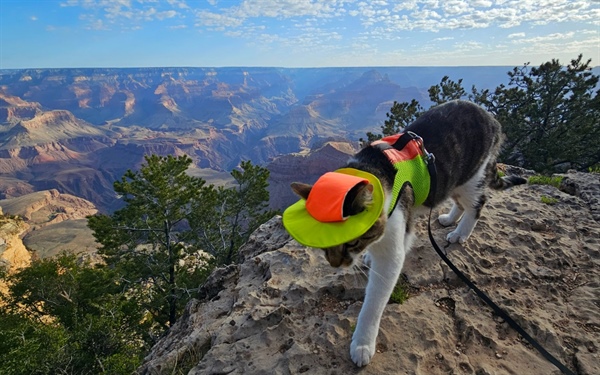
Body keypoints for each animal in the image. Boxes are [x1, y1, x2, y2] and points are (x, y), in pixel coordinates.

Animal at [286, 100, 524, 368]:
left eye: (352, 242)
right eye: (323, 243)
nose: (336, 265)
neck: (372, 169)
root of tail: (491, 118)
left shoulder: (393, 245)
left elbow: (374, 301)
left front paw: (362, 344)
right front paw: (367, 256)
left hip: (471, 177)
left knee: (477, 203)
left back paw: (460, 233)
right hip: (450, 180)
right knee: (456, 200)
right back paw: (449, 219)